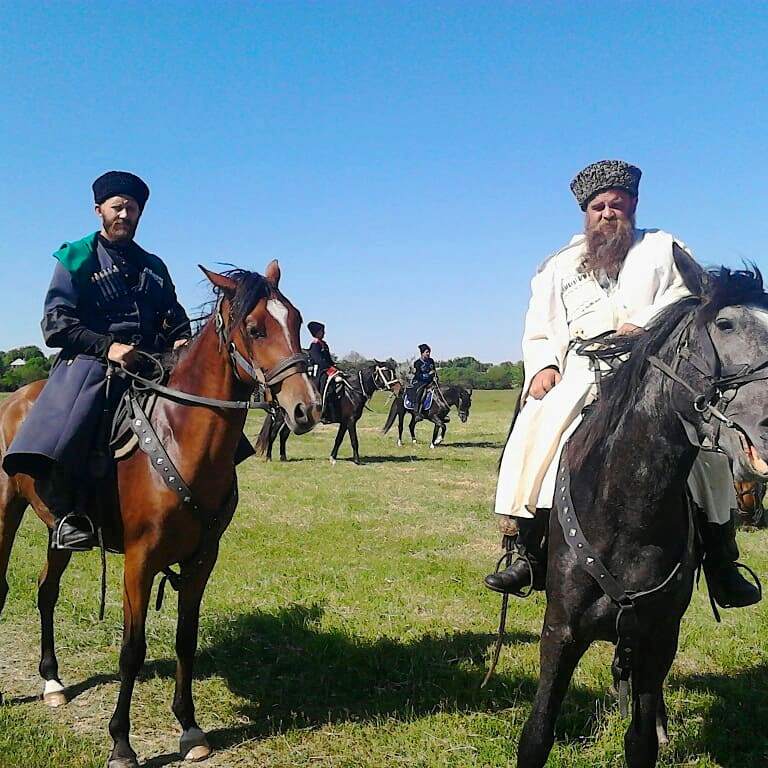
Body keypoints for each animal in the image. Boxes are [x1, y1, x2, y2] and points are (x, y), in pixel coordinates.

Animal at [0, 262, 320, 768]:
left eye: (297, 321)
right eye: (255, 328)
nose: (306, 408)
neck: (180, 437)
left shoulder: (201, 559)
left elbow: (186, 638)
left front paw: (189, 728)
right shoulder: (139, 561)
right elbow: (132, 649)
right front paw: (121, 742)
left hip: (58, 530)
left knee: (46, 590)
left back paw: (52, 680)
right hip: (6, 510)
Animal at [258, 364, 402, 464]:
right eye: (385, 373)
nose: (399, 389)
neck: (352, 392)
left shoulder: (344, 422)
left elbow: (338, 439)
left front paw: (332, 457)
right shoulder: (351, 421)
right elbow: (354, 440)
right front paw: (357, 460)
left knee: (283, 435)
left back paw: (283, 457)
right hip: (280, 418)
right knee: (273, 434)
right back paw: (269, 457)